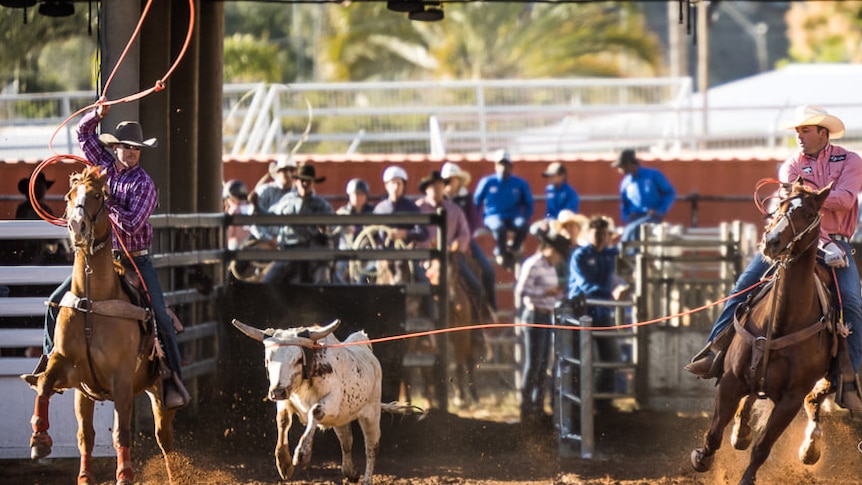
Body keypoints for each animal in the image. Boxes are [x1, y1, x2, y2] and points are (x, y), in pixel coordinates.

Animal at [20, 165, 175, 480]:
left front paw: (124, 474)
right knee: (87, 433)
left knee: (164, 439)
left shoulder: (122, 379)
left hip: (159, 390)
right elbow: (48, 389)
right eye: (69, 196)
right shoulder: (68, 370)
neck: (93, 302)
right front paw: (40, 440)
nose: (77, 226)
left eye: (96, 196)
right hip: (86, 395)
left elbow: (121, 433)